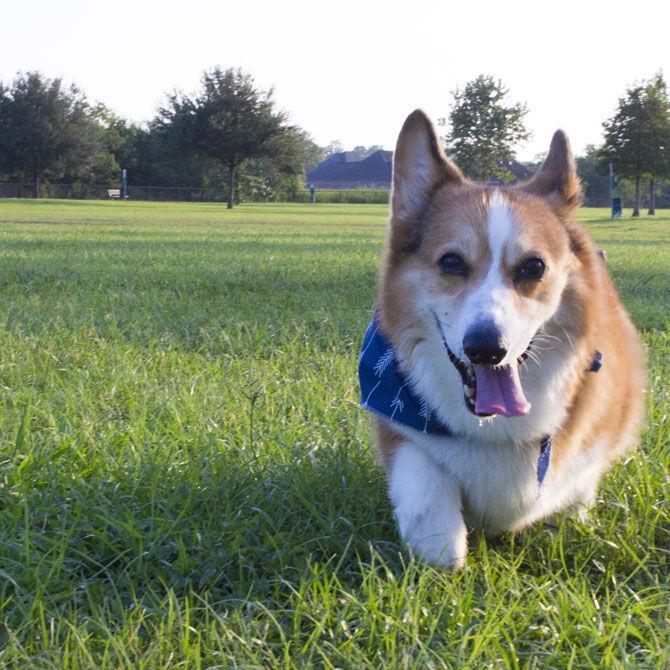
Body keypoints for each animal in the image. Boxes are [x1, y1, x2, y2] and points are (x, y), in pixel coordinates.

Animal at [360, 109, 648, 568]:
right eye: (451, 262)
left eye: (533, 267)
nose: (486, 348)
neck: (494, 426)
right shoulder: (400, 425)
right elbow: (425, 491)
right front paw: (440, 555)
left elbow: (575, 487)